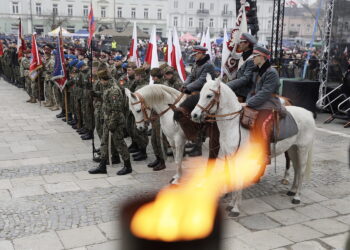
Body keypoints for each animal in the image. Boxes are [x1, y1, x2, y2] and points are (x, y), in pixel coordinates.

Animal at [191, 74, 314, 217]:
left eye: (209, 95)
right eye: (200, 94)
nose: (194, 115)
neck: (233, 124)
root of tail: (308, 113)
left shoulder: (238, 158)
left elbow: (238, 179)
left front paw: (235, 209)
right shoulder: (229, 156)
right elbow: (232, 177)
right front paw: (231, 204)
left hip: (302, 149)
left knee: (301, 170)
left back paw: (297, 197)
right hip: (293, 149)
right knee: (296, 168)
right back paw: (292, 190)